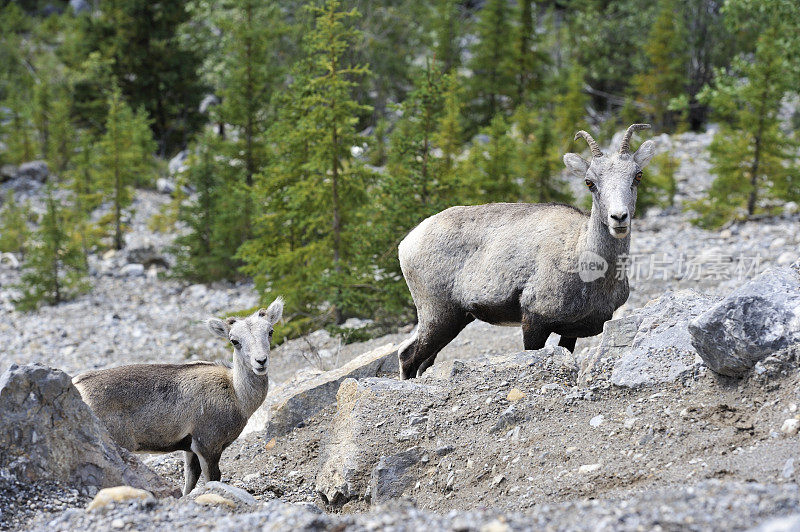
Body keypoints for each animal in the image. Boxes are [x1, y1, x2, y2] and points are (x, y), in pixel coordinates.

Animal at [72, 300, 284, 494]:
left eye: (270, 331)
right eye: (234, 341)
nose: (260, 361)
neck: (237, 395)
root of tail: (77, 386)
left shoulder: (190, 448)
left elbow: (190, 481)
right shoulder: (207, 444)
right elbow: (212, 478)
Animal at [396, 123, 652, 378]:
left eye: (637, 175)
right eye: (590, 182)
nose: (618, 218)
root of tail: (406, 243)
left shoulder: (570, 331)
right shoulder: (533, 321)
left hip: (455, 320)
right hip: (438, 315)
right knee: (407, 356)